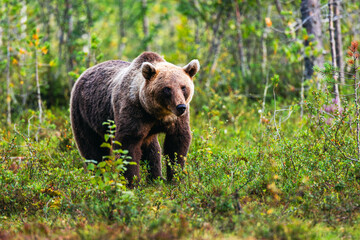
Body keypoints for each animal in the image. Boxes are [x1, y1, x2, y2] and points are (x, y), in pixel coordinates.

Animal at [69, 51, 200, 186]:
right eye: (167, 88)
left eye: (183, 87)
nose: (180, 107)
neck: (156, 113)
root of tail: (86, 71)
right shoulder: (133, 111)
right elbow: (128, 144)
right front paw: (132, 182)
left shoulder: (176, 119)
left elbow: (177, 142)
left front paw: (176, 178)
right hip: (84, 113)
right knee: (92, 148)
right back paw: (98, 175)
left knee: (151, 150)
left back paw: (156, 178)